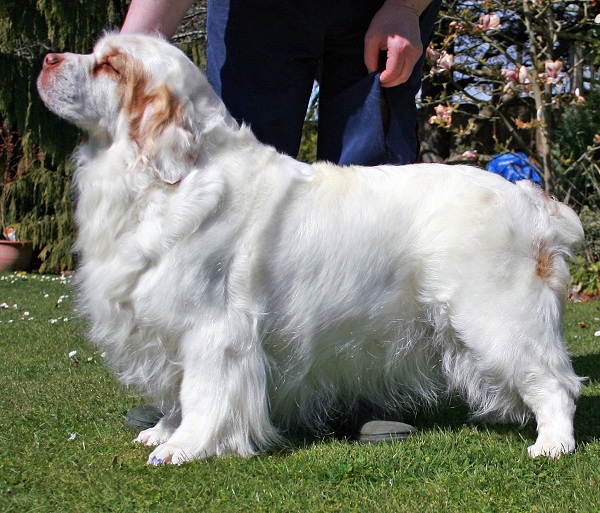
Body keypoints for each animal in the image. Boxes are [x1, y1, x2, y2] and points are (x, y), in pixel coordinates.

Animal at [36, 33, 580, 464]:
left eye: (110, 65)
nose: (47, 59)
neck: (169, 177)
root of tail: (529, 199)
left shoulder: (211, 328)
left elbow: (202, 392)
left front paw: (183, 447)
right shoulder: (165, 325)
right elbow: (177, 391)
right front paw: (162, 429)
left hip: (496, 316)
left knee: (555, 384)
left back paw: (553, 444)